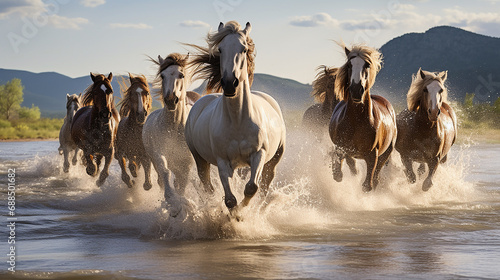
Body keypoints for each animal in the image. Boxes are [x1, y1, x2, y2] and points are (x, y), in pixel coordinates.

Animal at [141, 52, 201, 217]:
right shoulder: (159, 155)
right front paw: (173, 203)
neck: (173, 128)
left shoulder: (186, 163)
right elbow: (165, 174)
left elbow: (182, 185)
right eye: (162, 75)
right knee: (162, 180)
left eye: (181, 75)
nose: (170, 100)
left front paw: (182, 205)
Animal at [330, 43, 396, 192]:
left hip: (386, 152)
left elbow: (367, 186)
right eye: (349, 65)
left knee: (376, 176)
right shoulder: (341, 148)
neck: (356, 120)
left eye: (367, 65)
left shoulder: (373, 155)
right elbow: (338, 175)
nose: (356, 90)